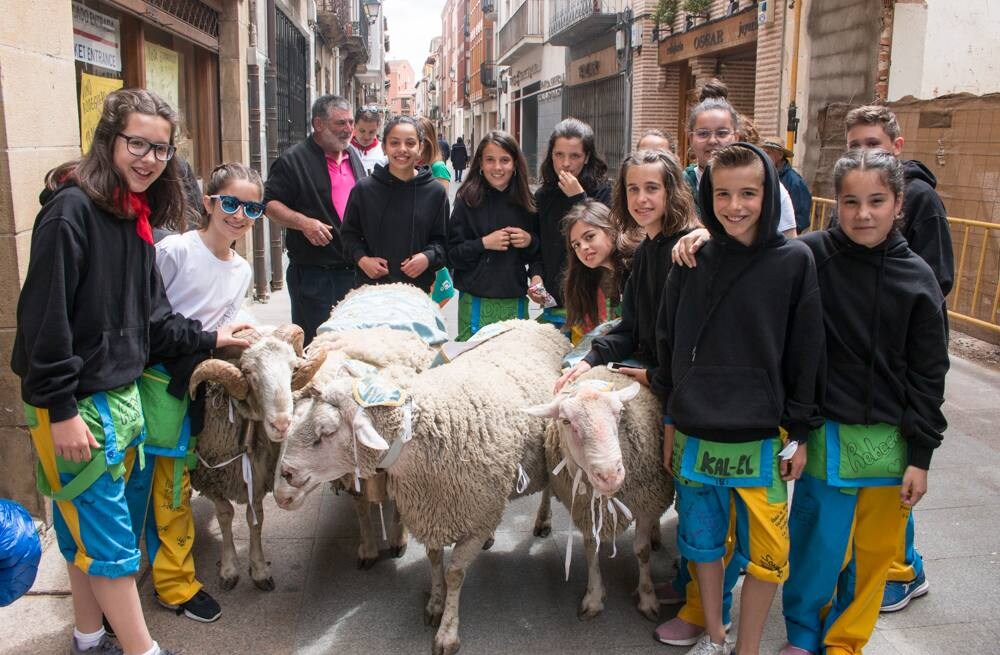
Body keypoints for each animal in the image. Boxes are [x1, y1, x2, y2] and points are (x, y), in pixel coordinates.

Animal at [186, 326, 326, 592]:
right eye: (249, 371)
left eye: (293, 367)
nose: (282, 425)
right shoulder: (211, 477)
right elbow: (225, 516)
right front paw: (229, 569)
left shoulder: (259, 478)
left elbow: (255, 520)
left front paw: (259, 570)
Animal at [274, 322, 572, 655]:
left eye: (324, 433)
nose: (285, 477)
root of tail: (535, 323)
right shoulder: (433, 510)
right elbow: (433, 559)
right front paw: (435, 604)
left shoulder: (467, 514)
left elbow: (455, 574)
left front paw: (447, 632)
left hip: (549, 448)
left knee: (546, 491)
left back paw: (543, 520)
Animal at [524, 366, 672, 624]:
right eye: (566, 421)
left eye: (620, 412)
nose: (609, 475)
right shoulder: (584, 509)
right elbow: (591, 548)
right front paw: (593, 598)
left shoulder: (645, 504)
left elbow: (641, 550)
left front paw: (648, 600)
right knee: (547, 490)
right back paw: (543, 519)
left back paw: (656, 533)